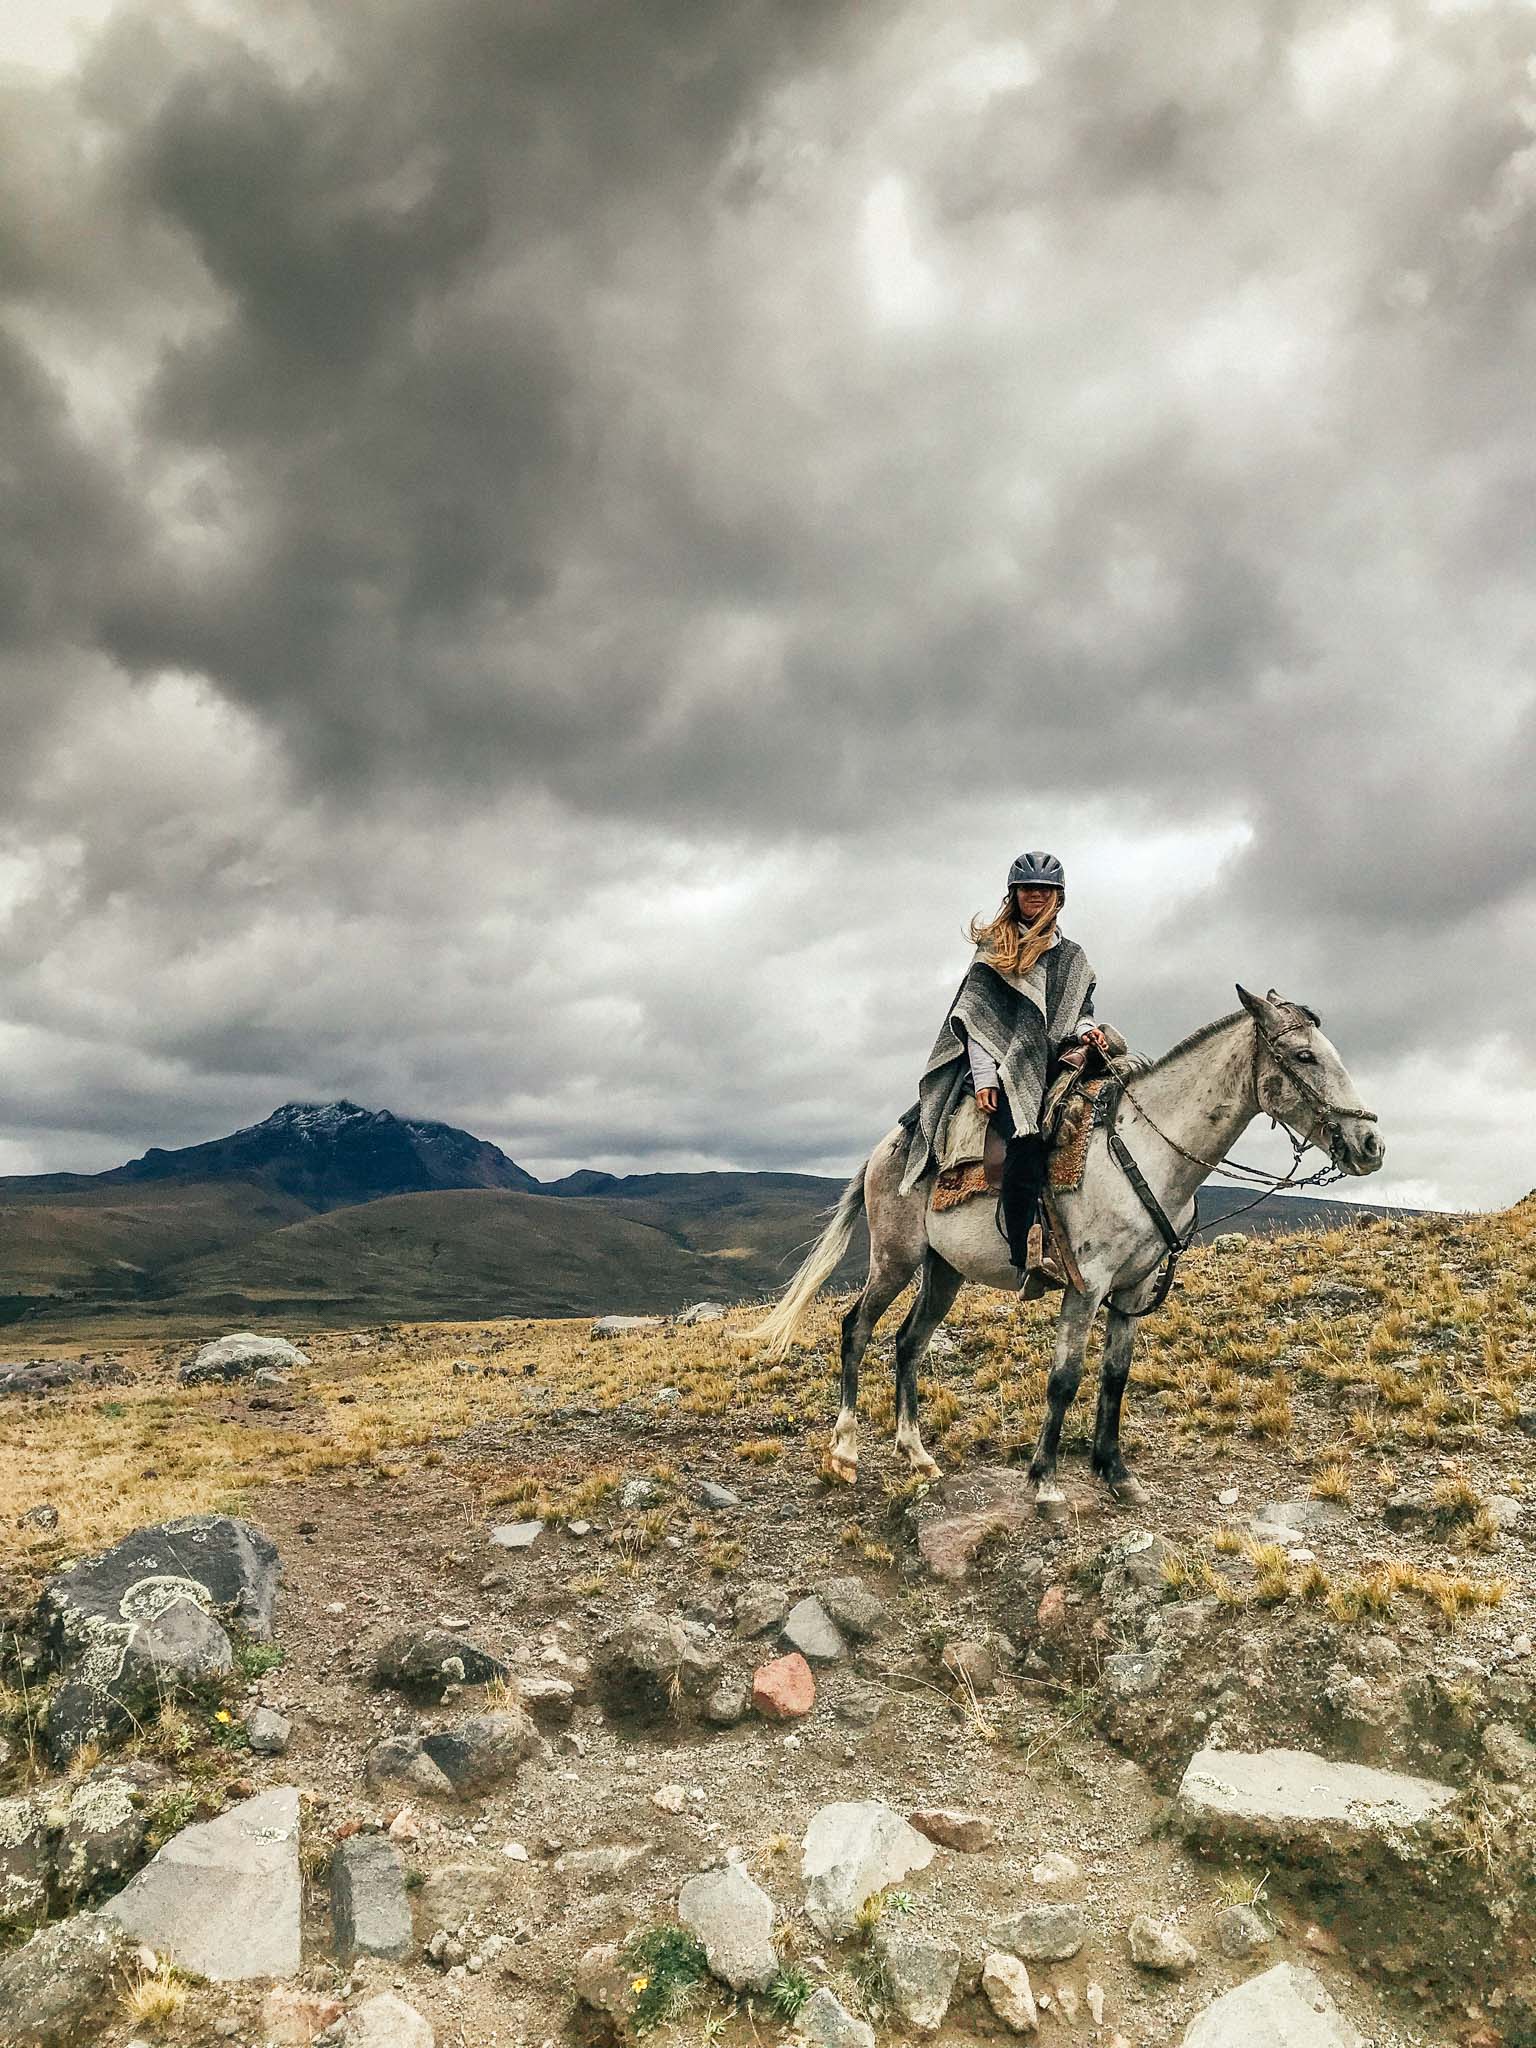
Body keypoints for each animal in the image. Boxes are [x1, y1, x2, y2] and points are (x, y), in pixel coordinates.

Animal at [753, 991, 1392, 1507]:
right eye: (1305, 1057)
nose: (1371, 1144)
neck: (1148, 1150)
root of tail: (886, 1147)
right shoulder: (1087, 1285)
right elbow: (1065, 1377)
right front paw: (1046, 1481)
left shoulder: (1131, 1290)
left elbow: (1115, 1377)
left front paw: (1116, 1473)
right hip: (895, 1258)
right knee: (855, 1329)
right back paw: (845, 1452)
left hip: (944, 1271)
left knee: (909, 1344)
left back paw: (917, 1454)